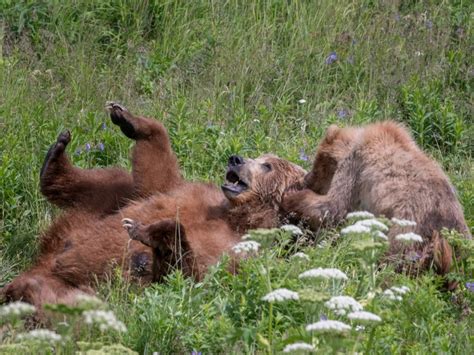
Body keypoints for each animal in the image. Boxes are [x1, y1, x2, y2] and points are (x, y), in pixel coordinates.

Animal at [0, 102, 304, 308]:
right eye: (259, 157)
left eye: (267, 165)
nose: (236, 159)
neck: (238, 217)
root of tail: (43, 261)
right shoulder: (194, 194)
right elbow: (156, 178)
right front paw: (129, 119)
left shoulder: (241, 252)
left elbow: (190, 276)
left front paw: (147, 233)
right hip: (88, 216)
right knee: (111, 182)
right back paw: (54, 159)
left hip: (72, 287)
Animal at [282, 121, 470, 276]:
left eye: (318, 164)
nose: (306, 179)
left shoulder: (354, 167)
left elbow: (334, 206)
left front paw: (291, 197)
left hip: (408, 230)